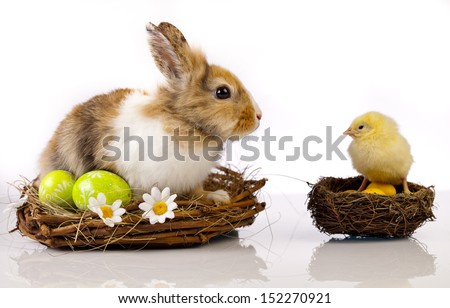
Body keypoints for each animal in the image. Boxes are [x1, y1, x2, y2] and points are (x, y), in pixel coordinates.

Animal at [39, 22, 264, 205]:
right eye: (222, 92)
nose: (259, 116)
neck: (184, 121)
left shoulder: (191, 179)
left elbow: (198, 192)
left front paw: (217, 196)